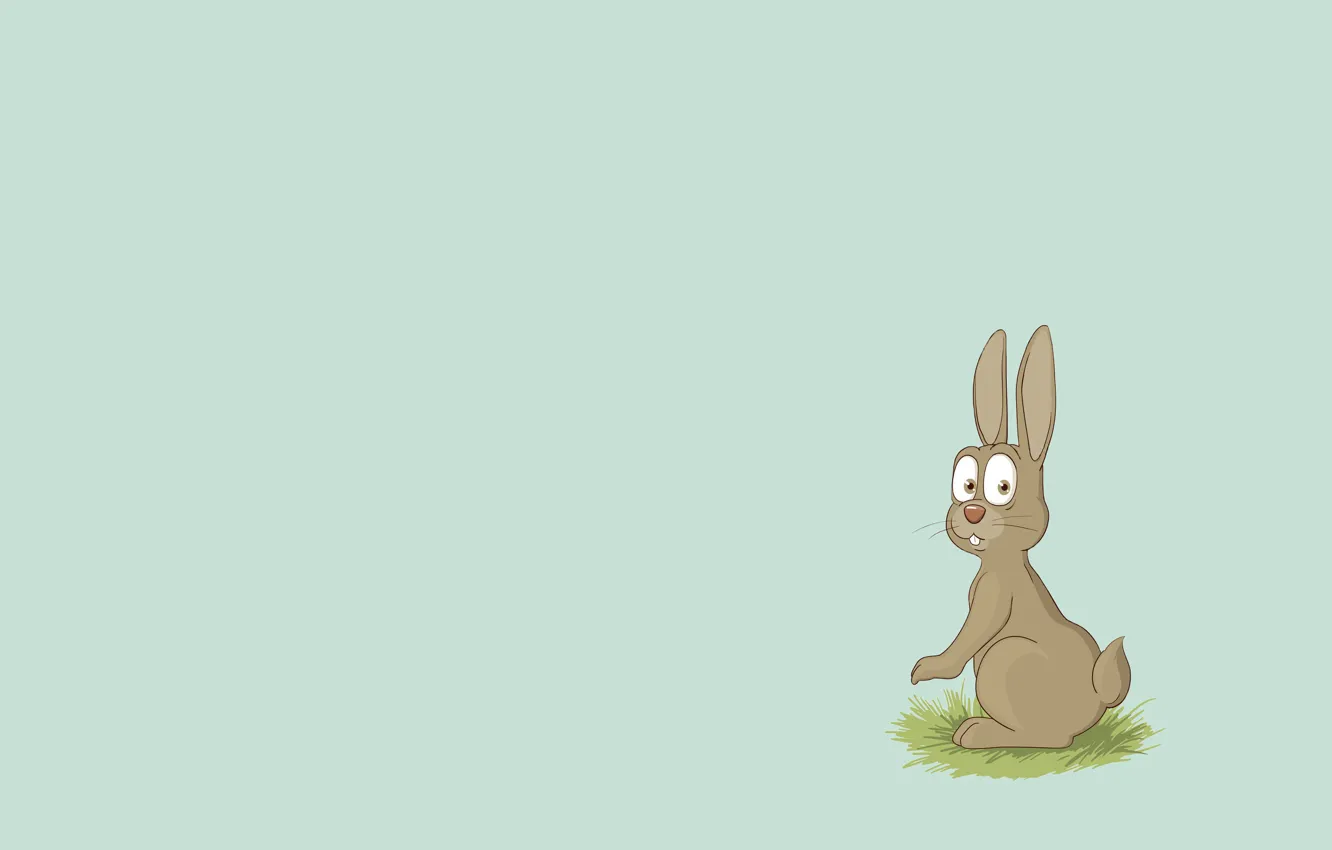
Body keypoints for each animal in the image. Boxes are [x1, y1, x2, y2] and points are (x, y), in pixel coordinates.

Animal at [909, 326, 1131, 749]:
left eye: (1003, 486)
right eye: (965, 484)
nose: (972, 512)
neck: (999, 561)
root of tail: (1097, 699)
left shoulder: (993, 599)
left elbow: (967, 637)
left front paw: (930, 668)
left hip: (1005, 660)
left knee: (1050, 739)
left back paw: (978, 732)